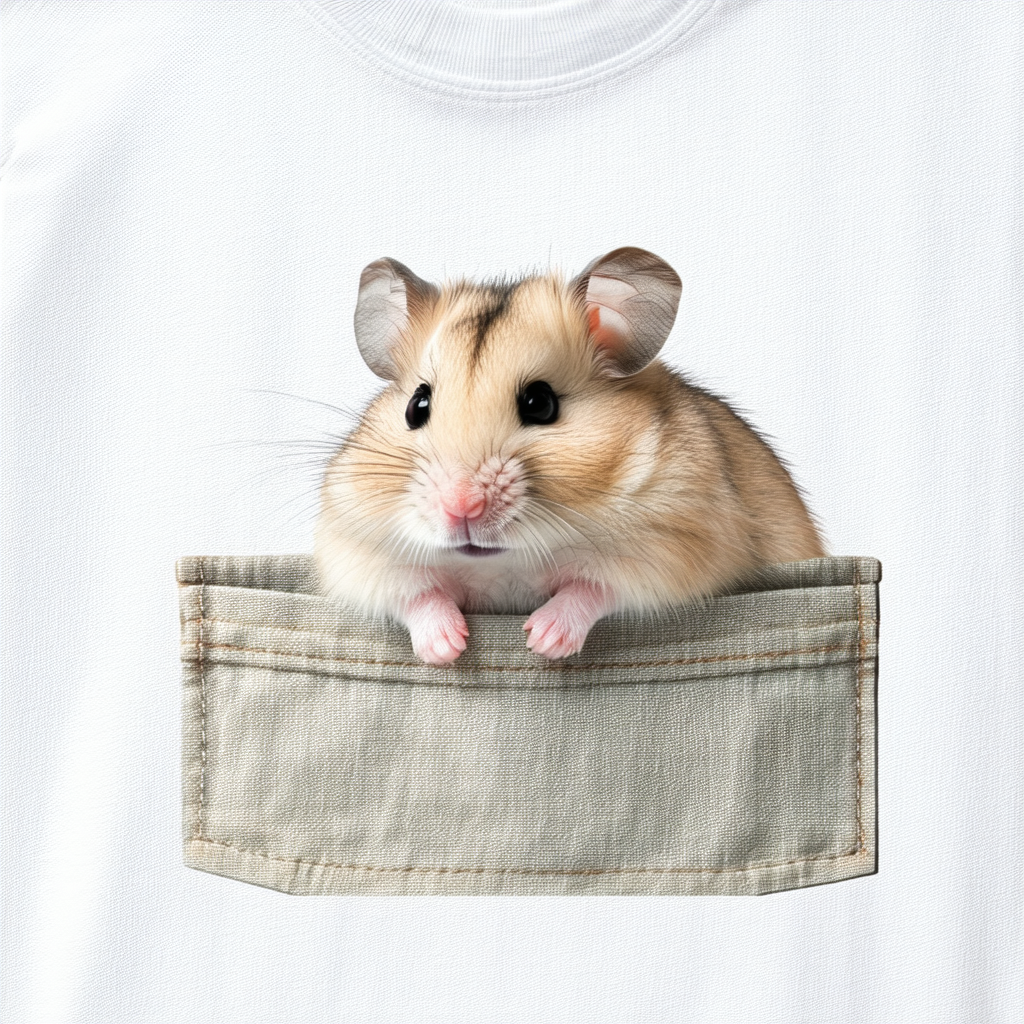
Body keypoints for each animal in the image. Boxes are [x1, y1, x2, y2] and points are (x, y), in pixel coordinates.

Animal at [315, 247, 825, 665]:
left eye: (540, 403)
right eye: (416, 406)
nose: (460, 509)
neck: (506, 562)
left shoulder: (671, 548)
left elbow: (593, 587)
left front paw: (541, 640)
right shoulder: (360, 554)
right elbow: (415, 596)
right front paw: (448, 649)